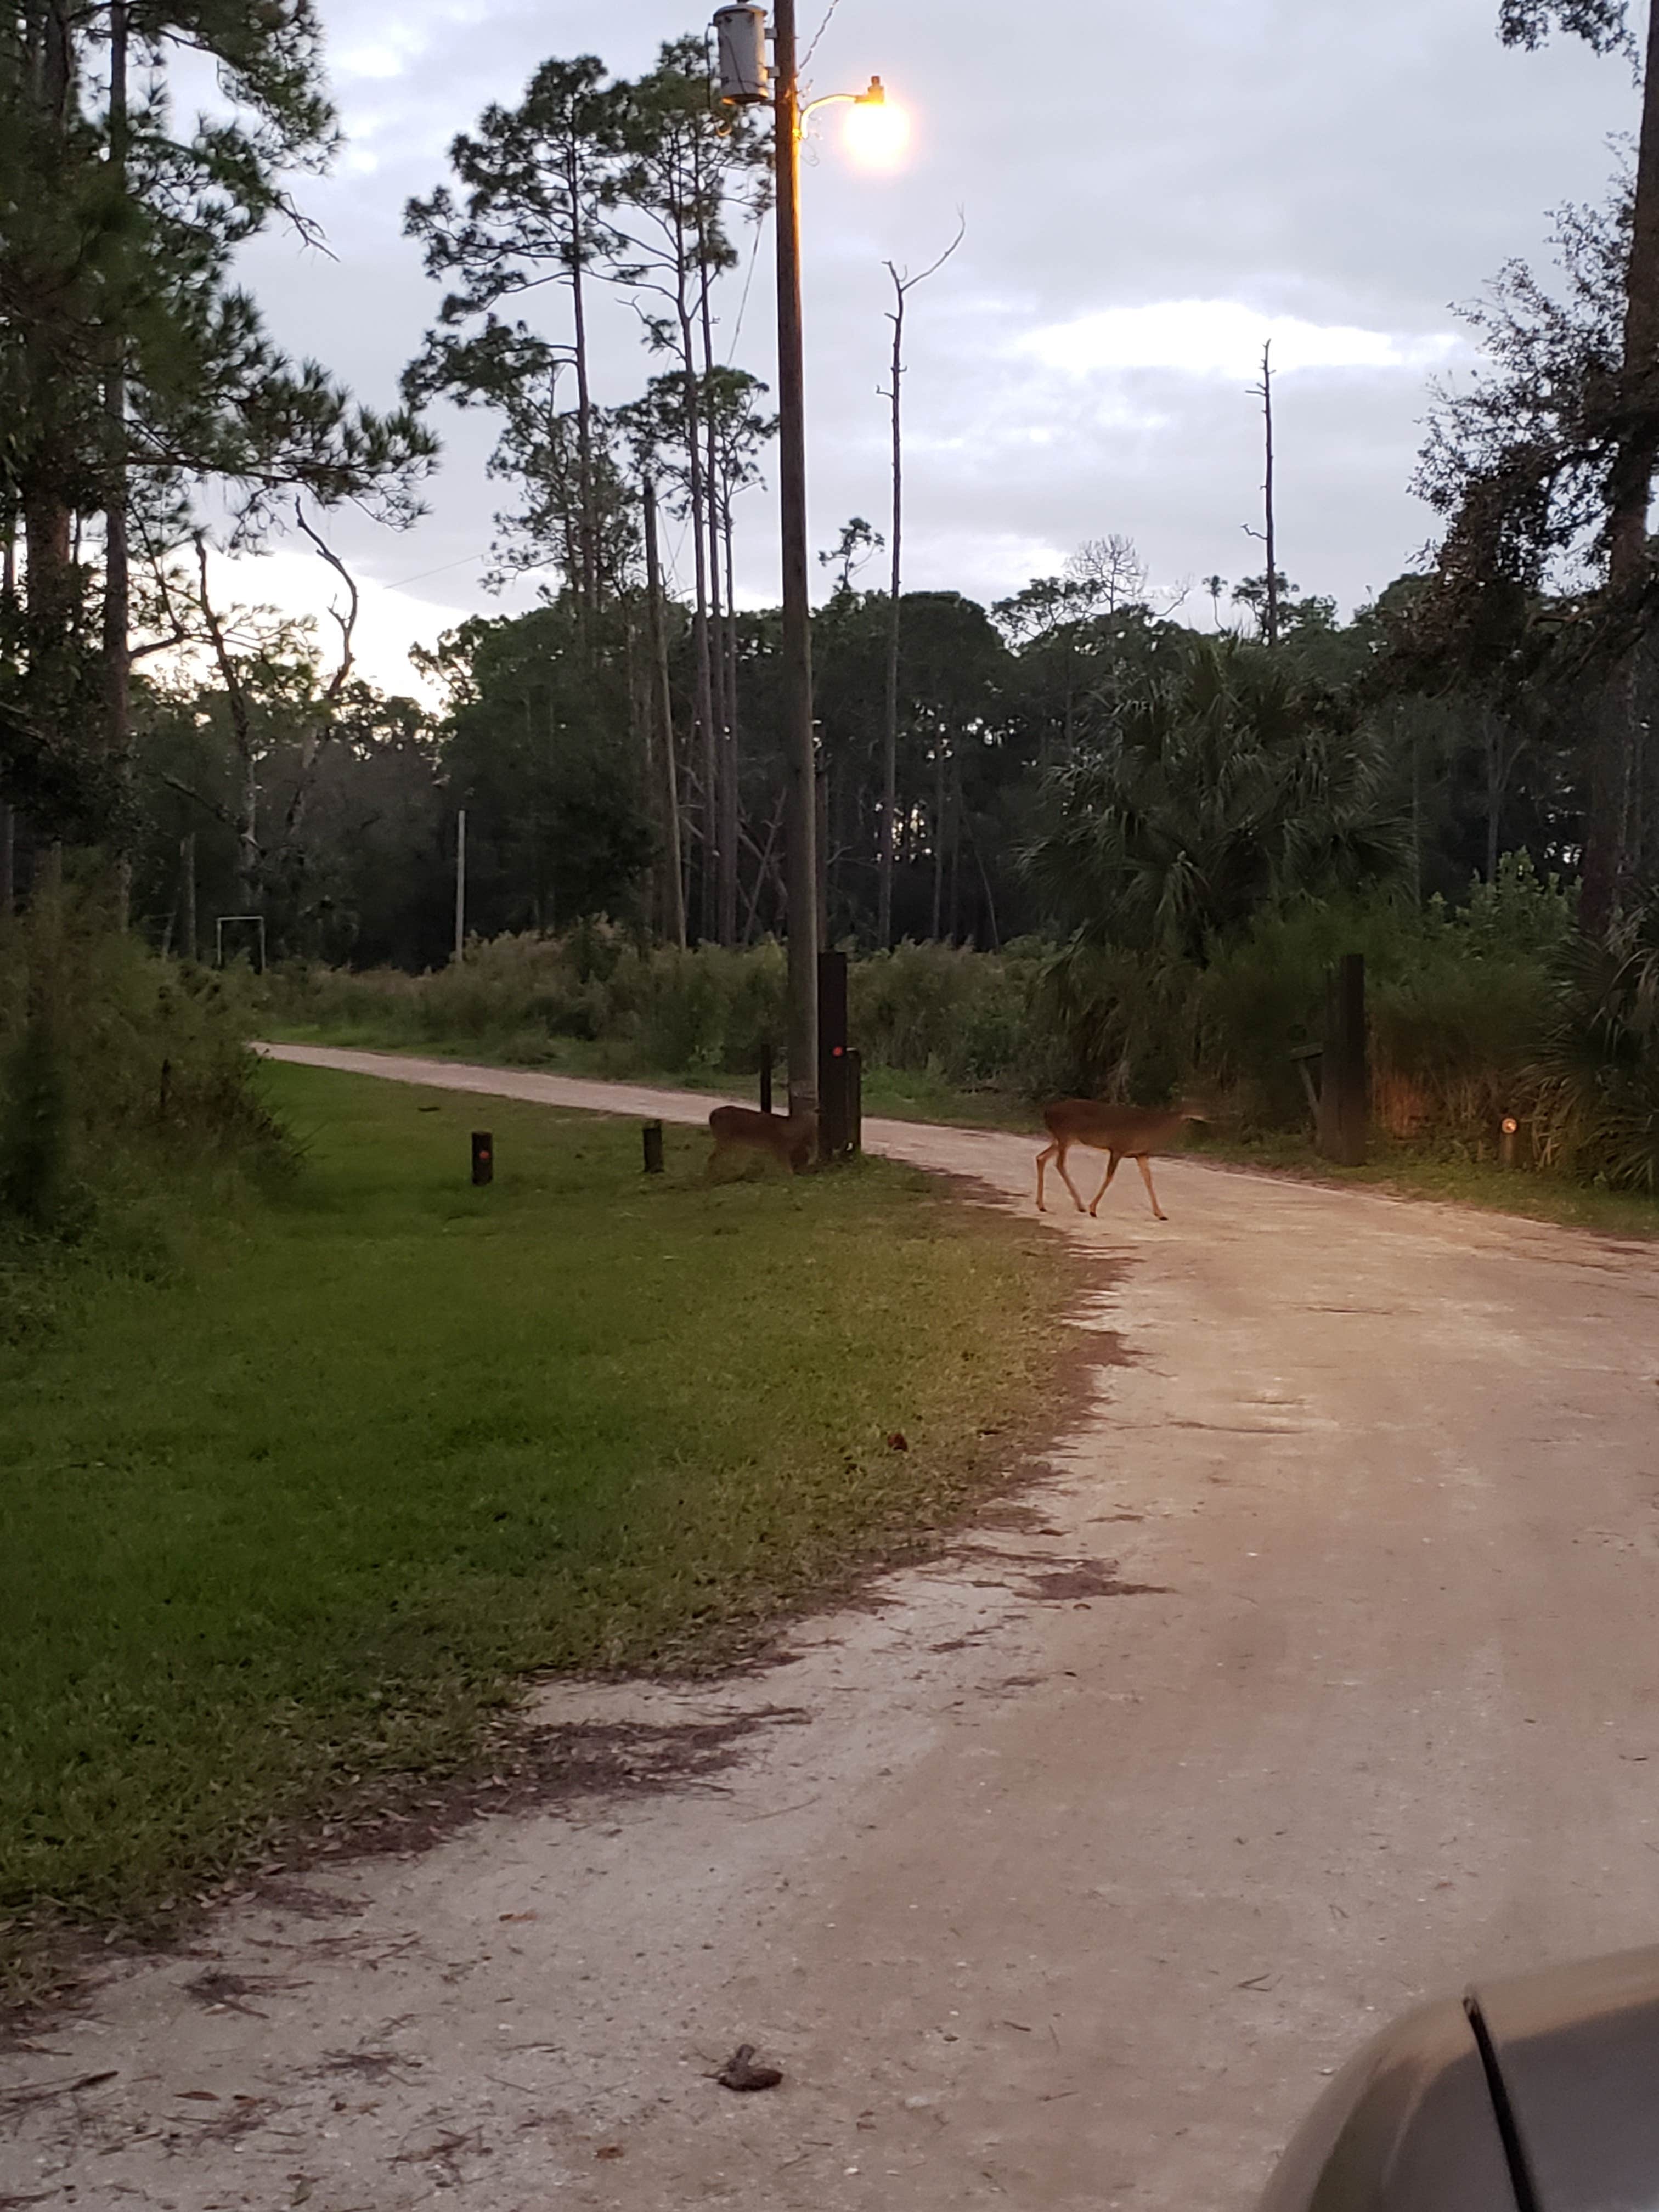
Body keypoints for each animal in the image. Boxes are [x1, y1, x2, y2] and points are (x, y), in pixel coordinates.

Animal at [712, 1101, 822, 1177]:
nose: (818, 1108)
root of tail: (711, 1116)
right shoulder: (779, 1148)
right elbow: (788, 1169)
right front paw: (792, 1177)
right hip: (725, 1139)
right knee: (713, 1158)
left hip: (736, 1143)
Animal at [1040, 1106, 1212, 1229]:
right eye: (1196, 1104)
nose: (1208, 1116)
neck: (1149, 1132)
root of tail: (1047, 1112)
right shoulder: (1118, 1148)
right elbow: (1110, 1176)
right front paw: (1093, 1209)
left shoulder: (1141, 1154)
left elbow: (1148, 1179)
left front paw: (1161, 1214)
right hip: (1066, 1136)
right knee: (1059, 1163)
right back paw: (1080, 1206)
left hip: (1061, 1139)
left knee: (1041, 1157)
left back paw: (1043, 1205)